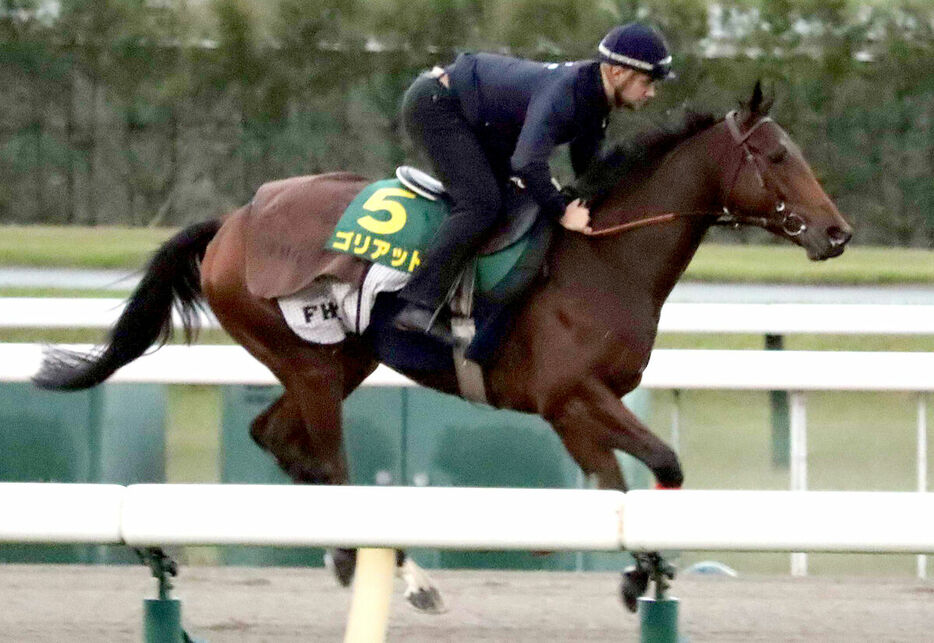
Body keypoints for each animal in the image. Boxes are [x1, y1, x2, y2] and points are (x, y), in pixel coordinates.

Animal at [33, 83, 856, 612]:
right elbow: (649, 468)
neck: (604, 257)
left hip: (339, 360)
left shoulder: (580, 410)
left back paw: (365, 559)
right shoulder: (570, 396)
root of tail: (234, 220)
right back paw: (397, 573)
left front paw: (642, 569)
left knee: (275, 437)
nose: (837, 231)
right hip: (306, 359)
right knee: (332, 467)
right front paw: (637, 572)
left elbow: (628, 483)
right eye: (776, 156)